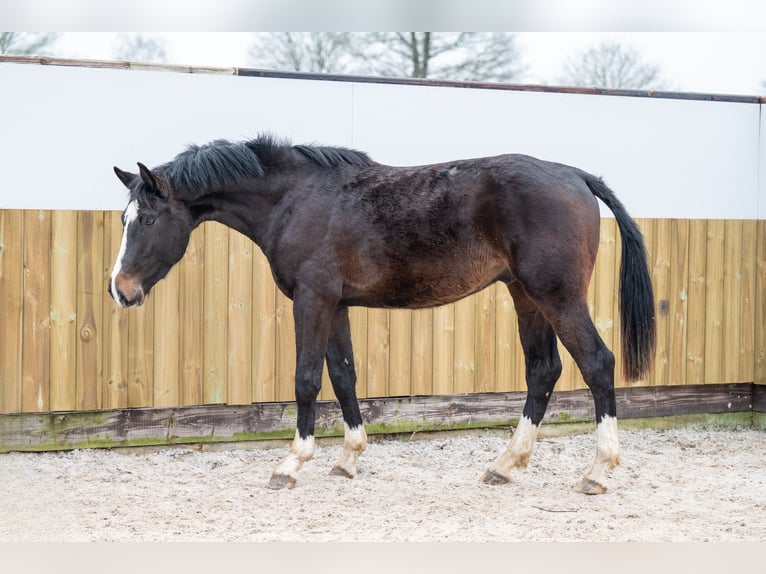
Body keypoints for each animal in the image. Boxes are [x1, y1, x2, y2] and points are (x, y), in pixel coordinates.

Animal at [108, 135, 656, 496]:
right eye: (124, 219)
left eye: (149, 219)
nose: (120, 289)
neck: (298, 198)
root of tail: (575, 174)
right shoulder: (336, 305)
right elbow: (344, 376)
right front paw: (348, 460)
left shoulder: (312, 299)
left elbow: (306, 379)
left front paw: (291, 464)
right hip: (526, 295)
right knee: (543, 370)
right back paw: (505, 465)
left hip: (557, 296)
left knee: (597, 363)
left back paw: (597, 471)